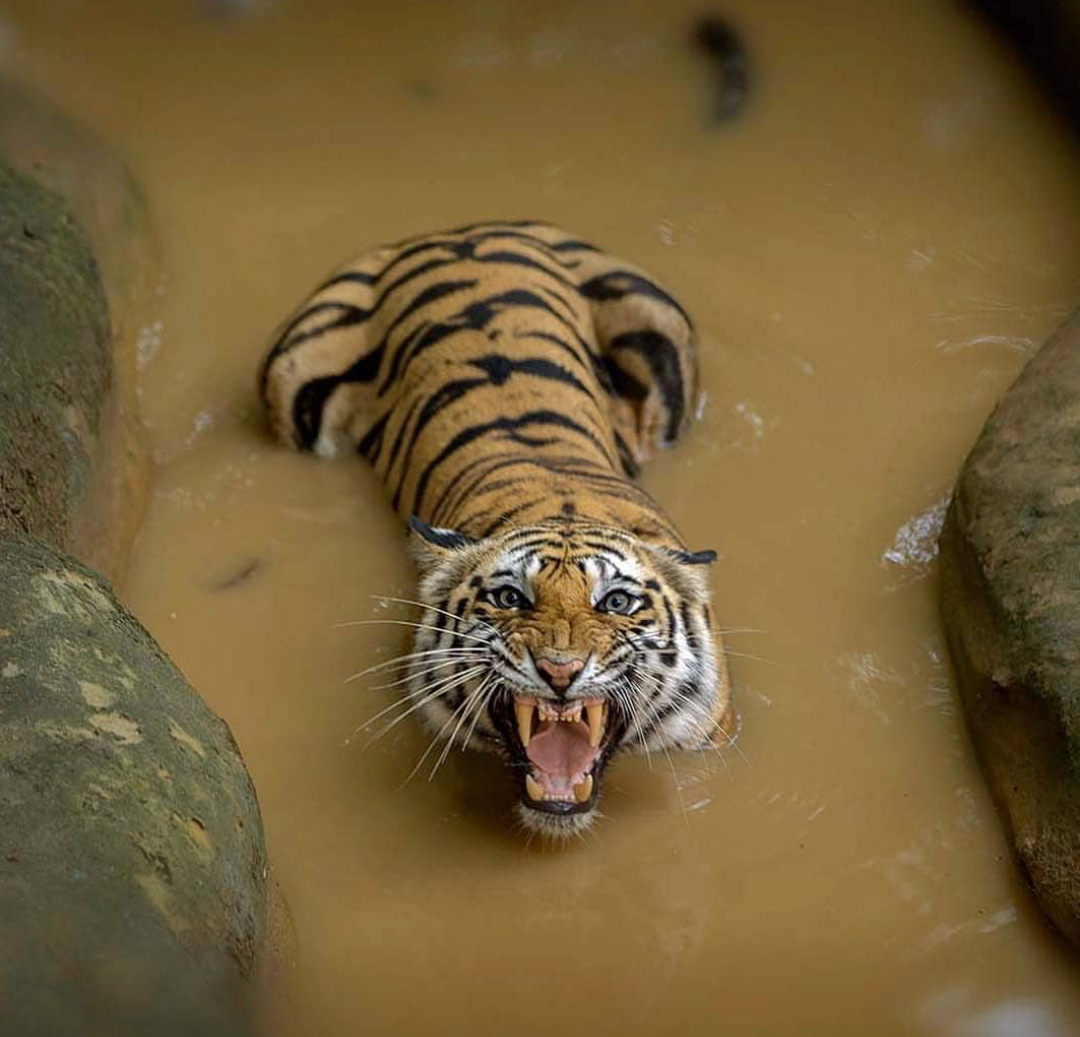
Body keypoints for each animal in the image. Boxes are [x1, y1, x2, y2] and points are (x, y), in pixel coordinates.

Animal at [260, 222, 734, 838]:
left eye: (616, 602)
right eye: (510, 598)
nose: (560, 672)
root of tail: (459, 231)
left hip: (660, 326)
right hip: (290, 375)